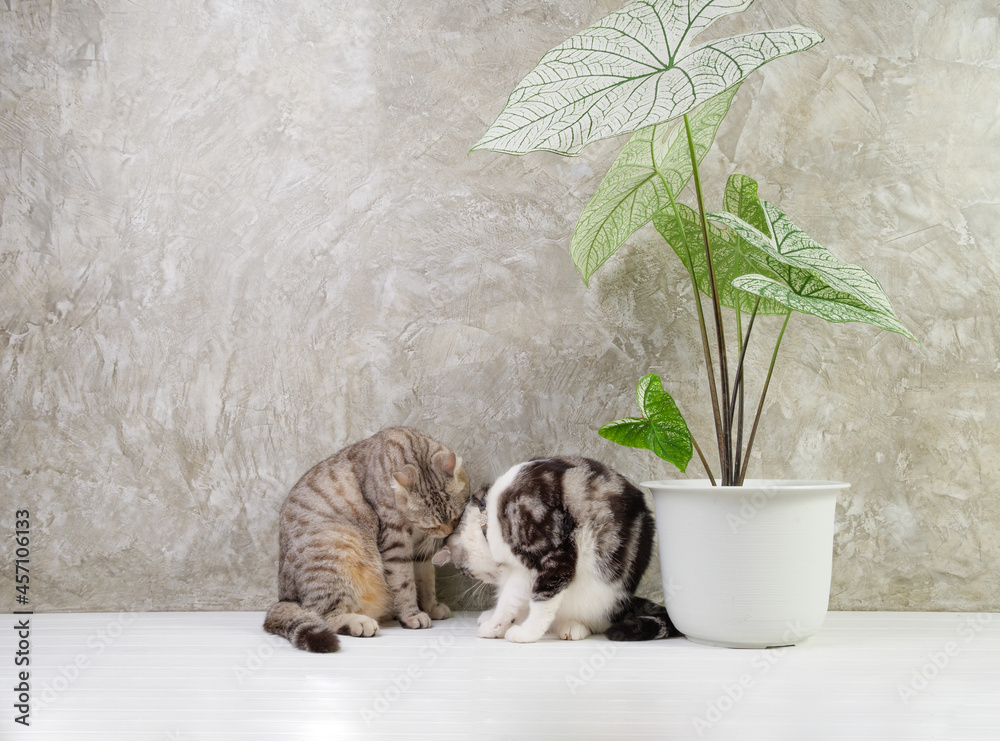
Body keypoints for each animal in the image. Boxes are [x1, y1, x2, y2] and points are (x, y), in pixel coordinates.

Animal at [264, 424, 470, 652]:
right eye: (433, 525)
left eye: (456, 517)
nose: (447, 532)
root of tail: (285, 598)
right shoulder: (395, 542)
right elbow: (404, 583)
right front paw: (411, 615)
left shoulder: (421, 549)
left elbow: (426, 580)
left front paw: (431, 607)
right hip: (338, 545)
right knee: (320, 613)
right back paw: (358, 622)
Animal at [432, 454, 676, 640]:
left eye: (465, 572)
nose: (484, 580)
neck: (490, 517)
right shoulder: (522, 572)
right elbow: (511, 599)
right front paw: (497, 621)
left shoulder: (554, 558)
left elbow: (539, 601)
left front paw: (523, 632)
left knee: (592, 620)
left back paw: (573, 626)